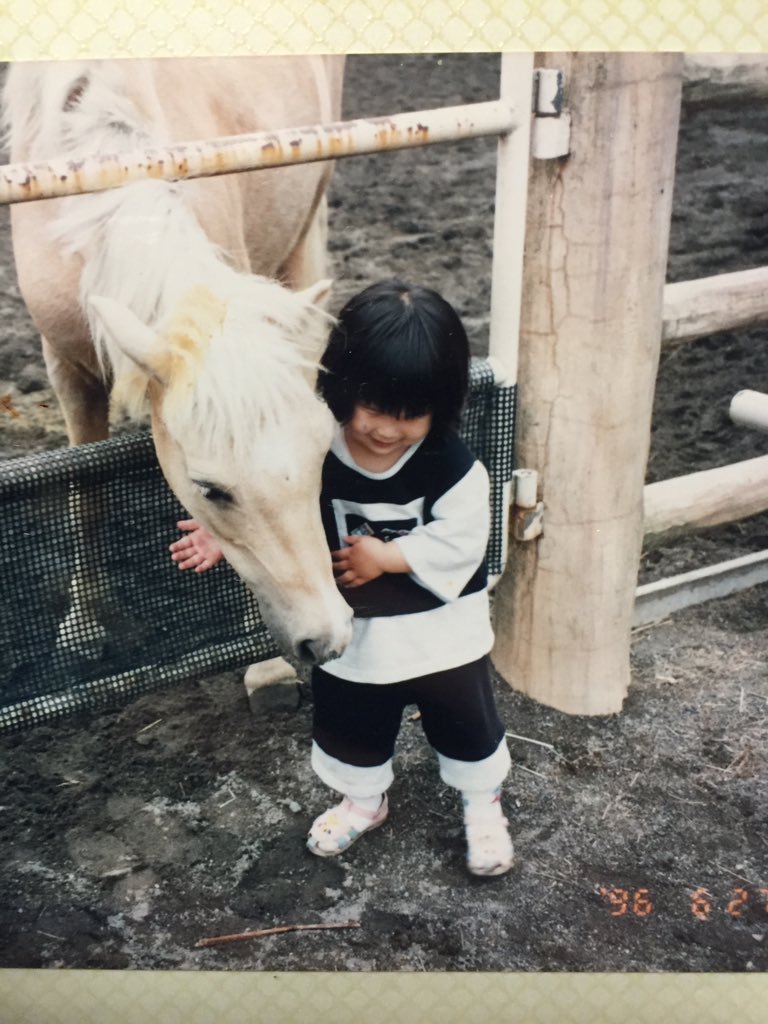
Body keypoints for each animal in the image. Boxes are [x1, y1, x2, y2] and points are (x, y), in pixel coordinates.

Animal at [2, 57, 352, 675]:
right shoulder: (64, 365)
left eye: (320, 456)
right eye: (210, 489)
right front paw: (83, 626)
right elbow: (84, 493)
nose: (328, 640)